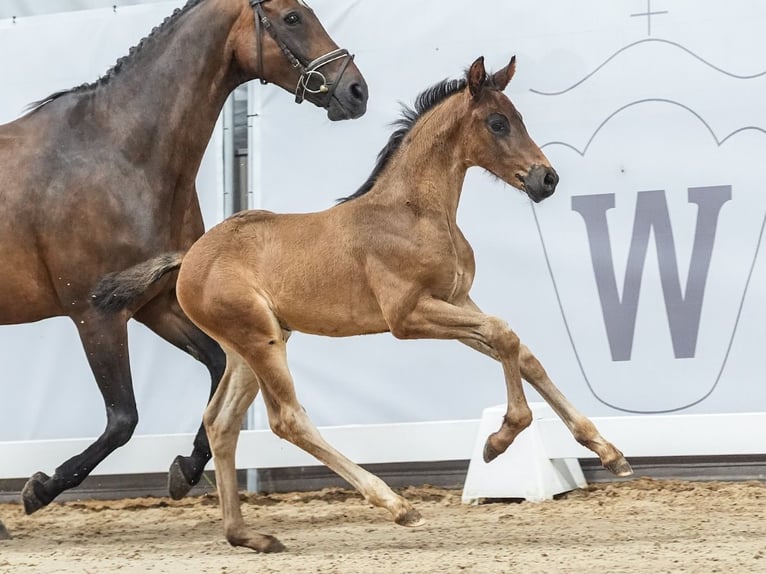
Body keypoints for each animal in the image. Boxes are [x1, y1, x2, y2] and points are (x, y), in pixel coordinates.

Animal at [0, 0, 368, 520]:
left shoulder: (155, 304)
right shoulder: (96, 316)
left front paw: (186, 468)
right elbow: (123, 419)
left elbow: (216, 367)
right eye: (292, 17)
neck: (120, 156)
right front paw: (40, 488)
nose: (356, 91)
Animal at [93, 57, 632, 552]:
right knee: (287, 419)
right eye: (498, 122)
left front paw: (608, 452)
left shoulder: (457, 299)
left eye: (519, 117)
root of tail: (189, 257)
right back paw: (397, 505)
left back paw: (247, 536)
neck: (415, 212)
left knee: (221, 423)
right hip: (259, 339)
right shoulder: (407, 315)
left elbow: (520, 349)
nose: (547, 179)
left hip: (250, 345)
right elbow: (504, 334)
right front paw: (500, 440)